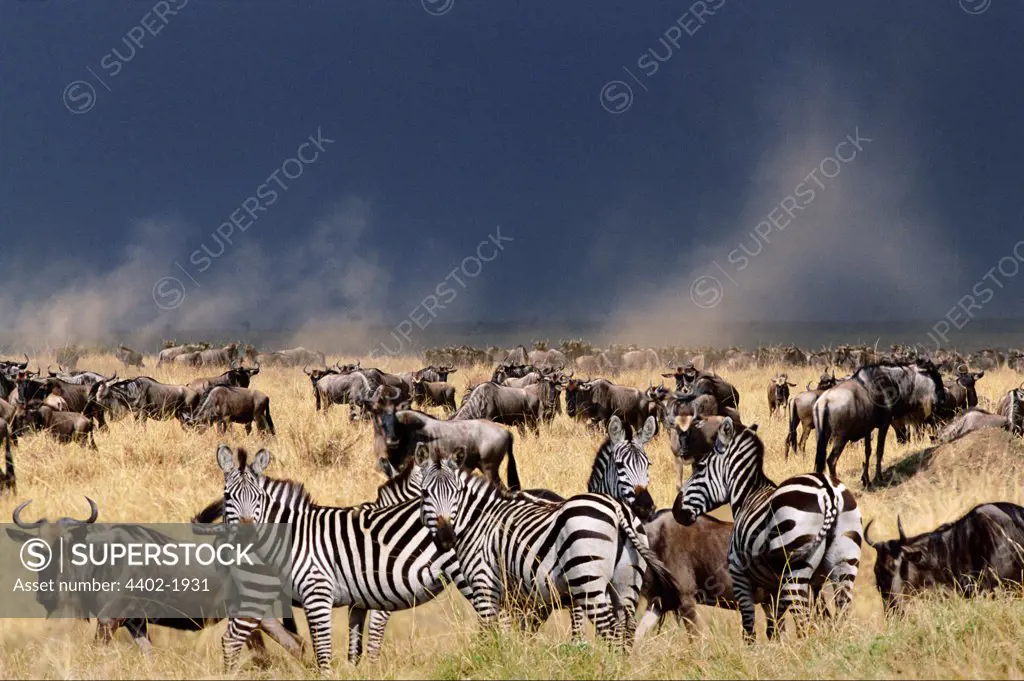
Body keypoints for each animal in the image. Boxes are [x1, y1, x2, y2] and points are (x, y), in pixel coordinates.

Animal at [218, 444, 473, 671]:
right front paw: (370, 669)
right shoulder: (378, 594)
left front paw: (355, 670)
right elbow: (372, 638)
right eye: (427, 492)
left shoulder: (360, 597)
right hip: (258, 589)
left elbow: (355, 642)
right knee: (239, 634)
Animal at [411, 446, 684, 647]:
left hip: (588, 580)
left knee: (609, 628)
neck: (478, 521)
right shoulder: (512, 596)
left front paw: (491, 661)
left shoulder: (484, 584)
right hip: (626, 582)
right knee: (625, 628)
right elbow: (511, 634)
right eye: (425, 494)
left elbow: (488, 634)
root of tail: (617, 508)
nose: (446, 538)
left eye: (456, 492)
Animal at [671, 413, 864, 643]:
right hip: (845, 565)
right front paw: (777, 650)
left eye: (700, 466)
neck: (747, 495)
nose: (675, 510)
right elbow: (775, 629)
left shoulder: (739, 576)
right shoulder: (772, 589)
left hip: (794, 571)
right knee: (842, 616)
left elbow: (749, 630)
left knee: (805, 624)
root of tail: (828, 491)